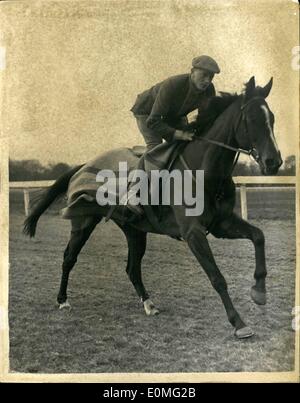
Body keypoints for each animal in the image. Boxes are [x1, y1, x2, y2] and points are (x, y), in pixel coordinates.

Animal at [22, 75, 282, 338]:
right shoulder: (193, 232)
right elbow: (216, 277)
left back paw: (149, 304)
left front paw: (259, 291)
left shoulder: (222, 223)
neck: (204, 172)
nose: (274, 161)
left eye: (272, 118)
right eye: (251, 119)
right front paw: (239, 323)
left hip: (134, 229)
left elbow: (258, 236)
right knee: (69, 258)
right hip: (83, 221)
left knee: (132, 268)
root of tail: (83, 164)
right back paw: (63, 300)